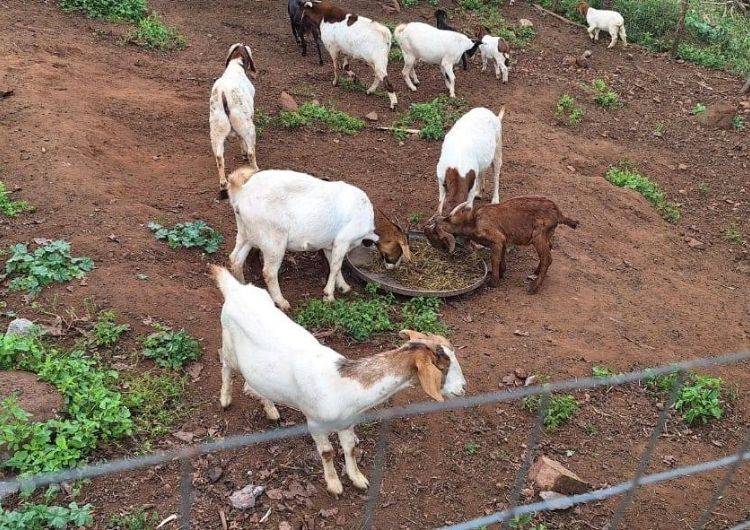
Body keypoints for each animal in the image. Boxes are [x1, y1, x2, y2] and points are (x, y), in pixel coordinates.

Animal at [209, 44, 258, 196]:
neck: (236, 65)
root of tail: (223, 94)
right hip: (247, 126)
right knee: (251, 152)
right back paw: (255, 169)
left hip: (216, 129)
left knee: (219, 157)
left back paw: (223, 184)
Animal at [213, 264, 467, 495]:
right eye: (444, 366)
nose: (463, 388)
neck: (343, 386)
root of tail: (235, 288)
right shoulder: (315, 423)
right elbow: (327, 452)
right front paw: (334, 485)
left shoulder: (347, 422)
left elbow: (350, 448)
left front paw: (357, 478)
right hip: (229, 345)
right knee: (225, 365)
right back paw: (225, 399)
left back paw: (270, 409)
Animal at [226, 167, 410, 310]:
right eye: (399, 250)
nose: (392, 267)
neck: (369, 222)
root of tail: (242, 192)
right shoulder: (343, 240)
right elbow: (336, 266)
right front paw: (329, 296)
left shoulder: (330, 245)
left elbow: (334, 264)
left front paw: (344, 287)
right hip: (274, 239)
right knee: (269, 272)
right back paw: (282, 302)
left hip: (247, 233)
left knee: (235, 258)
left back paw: (242, 287)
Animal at [424, 196, 579, 294]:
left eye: (434, 237)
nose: (441, 251)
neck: (472, 221)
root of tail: (558, 213)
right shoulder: (503, 240)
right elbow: (501, 257)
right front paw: (502, 273)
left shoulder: (496, 239)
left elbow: (494, 259)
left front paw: (493, 282)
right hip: (547, 235)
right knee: (549, 249)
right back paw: (535, 272)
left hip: (538, 236)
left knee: (548, 258)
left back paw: (533, 288)